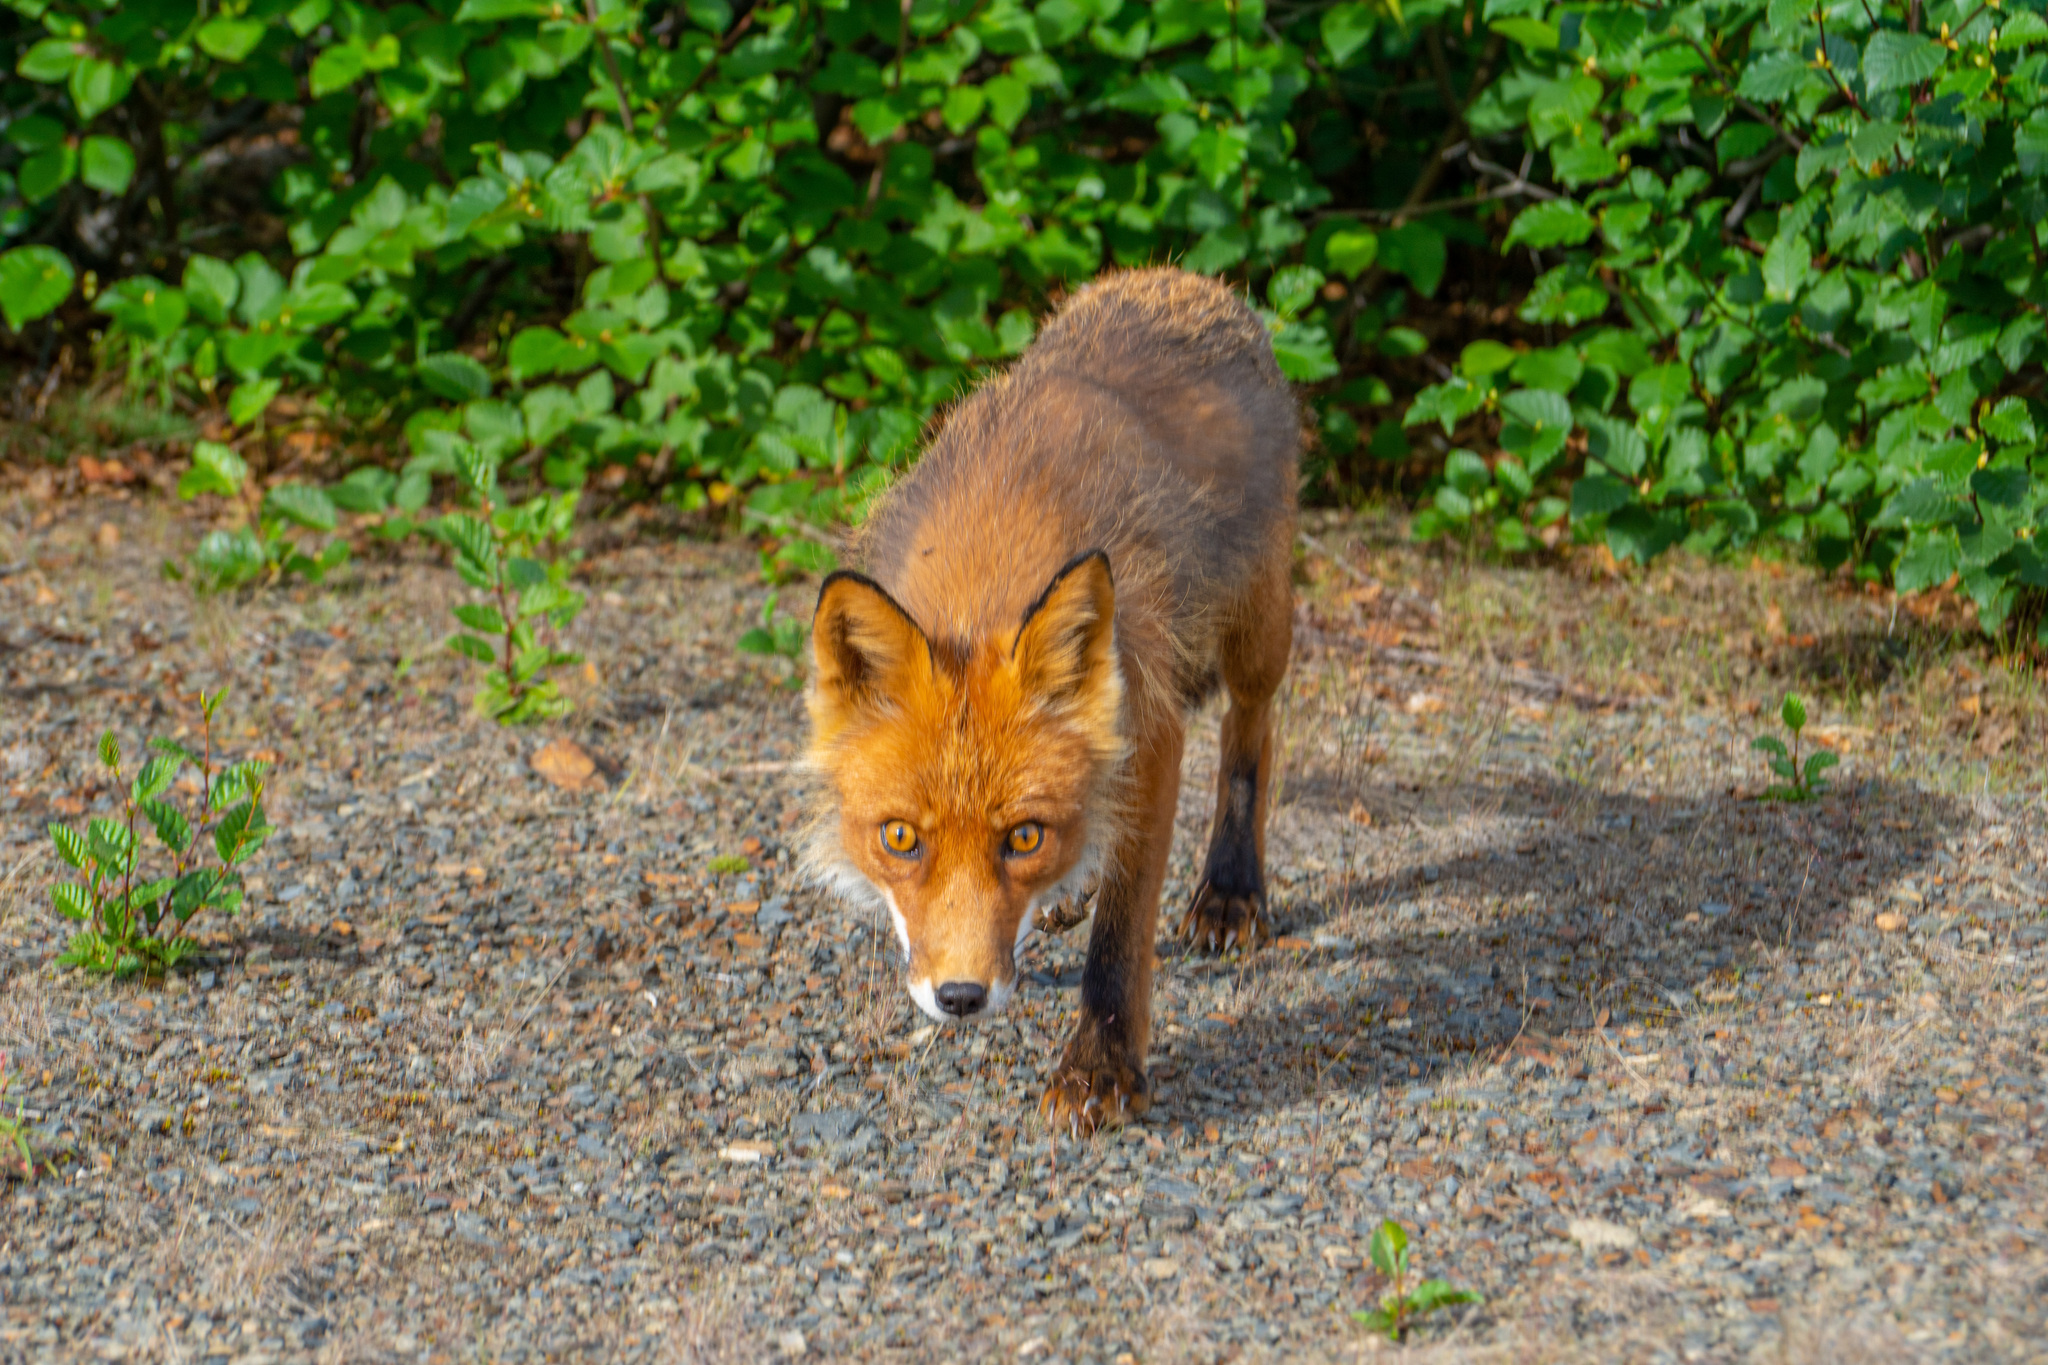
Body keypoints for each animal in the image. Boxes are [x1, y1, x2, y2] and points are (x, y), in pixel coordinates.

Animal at [802, 263, 1294, 1129]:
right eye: (900, 838)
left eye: (1023, 836)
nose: (961, 997)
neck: (991, 548)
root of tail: (1181, 275)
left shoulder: (1151, 730)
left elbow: (1122, 931)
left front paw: (1102, 1065)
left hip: (1256, 624)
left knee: (1250, 734)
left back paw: (1233, 890)